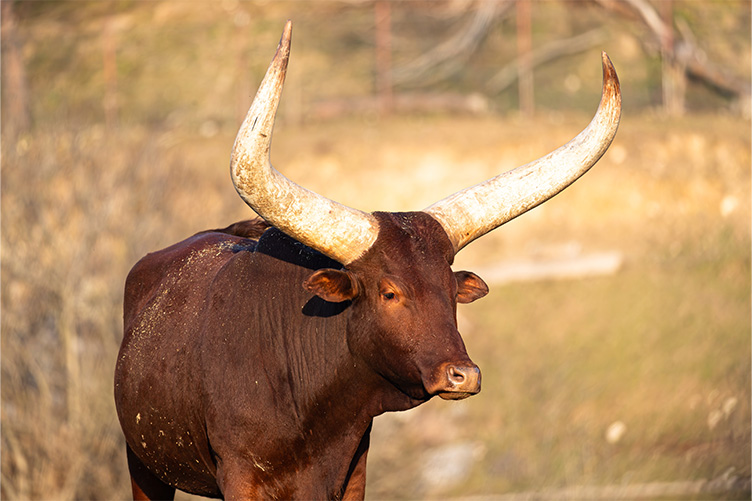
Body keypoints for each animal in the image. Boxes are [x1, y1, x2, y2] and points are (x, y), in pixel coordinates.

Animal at [114, 20, 620, 501]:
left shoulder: (354, 471)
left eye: (451, 290)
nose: (463, 376)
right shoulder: (240, 477)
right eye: (389, 292)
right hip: (143, 465)